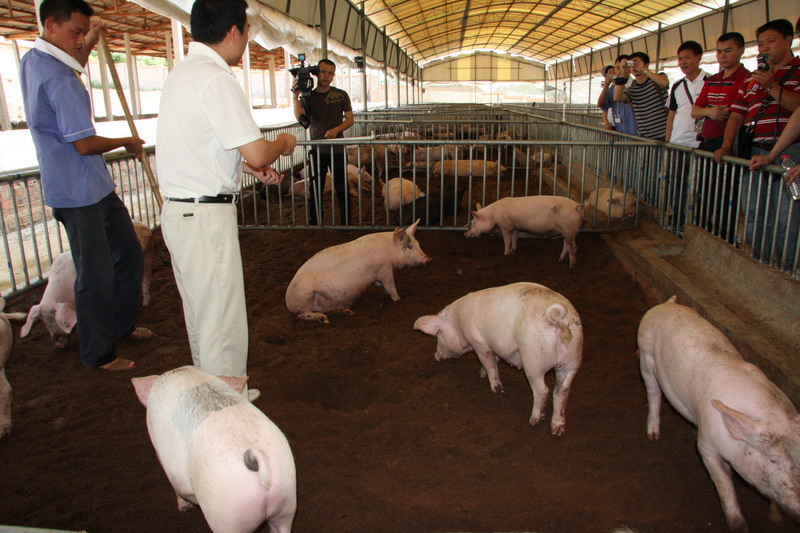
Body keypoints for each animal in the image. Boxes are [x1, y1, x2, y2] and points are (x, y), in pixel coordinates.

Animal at [132, 366, 296, 533]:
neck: (189, 375)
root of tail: (259, 458)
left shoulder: (158, 448)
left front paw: (183, 508)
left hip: (227, 516)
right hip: (286, 500)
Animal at [285, 220, 431, 323]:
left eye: (417, 243)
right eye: (409, 246)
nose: (428, 258)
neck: (389, 250)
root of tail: (288, 302)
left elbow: (383, 287)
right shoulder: (384, 270)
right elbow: (390, 287)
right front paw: (399, 301)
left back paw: (348, 312)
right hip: (305, 297)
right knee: (302, 315)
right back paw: (324, 320)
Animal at [414, 282, 583, 436]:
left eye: (438, 335)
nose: (436, 356)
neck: (458, 323)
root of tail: (558, 321)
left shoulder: (479, 343)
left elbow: (489, 364)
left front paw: (497, 389)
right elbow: (494, 361)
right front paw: (481, 374)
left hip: (533, 360)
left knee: (542, 390)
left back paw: (534, 420)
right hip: (572, 359)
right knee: (561, 391)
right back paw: (557, 430)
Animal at [638, 296, 800, 532]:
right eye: (773, 460)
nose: (798, 507)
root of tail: (665, 305)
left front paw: (775, 518)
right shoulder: (706, 443)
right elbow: (723, 484)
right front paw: (740, 526)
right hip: (646, 356)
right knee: (653, 392)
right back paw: (653, 436)